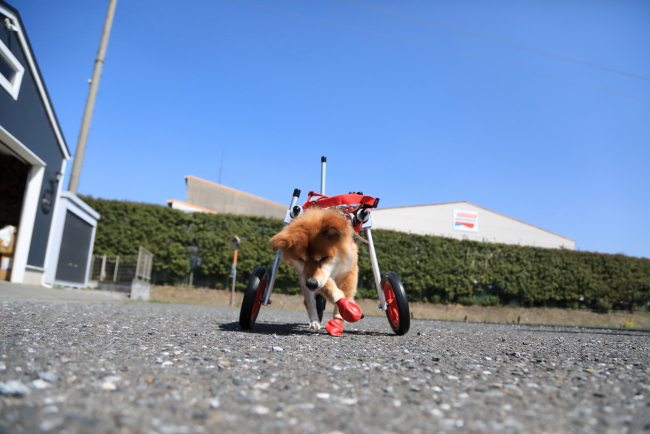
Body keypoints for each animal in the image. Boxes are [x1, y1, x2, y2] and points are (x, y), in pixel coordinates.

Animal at [268, 207, 362, 336]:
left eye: (324, 258)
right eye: (301, 259)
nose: (311, 284)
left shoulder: (348, 270)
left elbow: (346, 293)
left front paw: (340, 316)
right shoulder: (307, 276)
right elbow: (329, 288)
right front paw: (339, 299)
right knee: (309, 302)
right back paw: (314, 322)